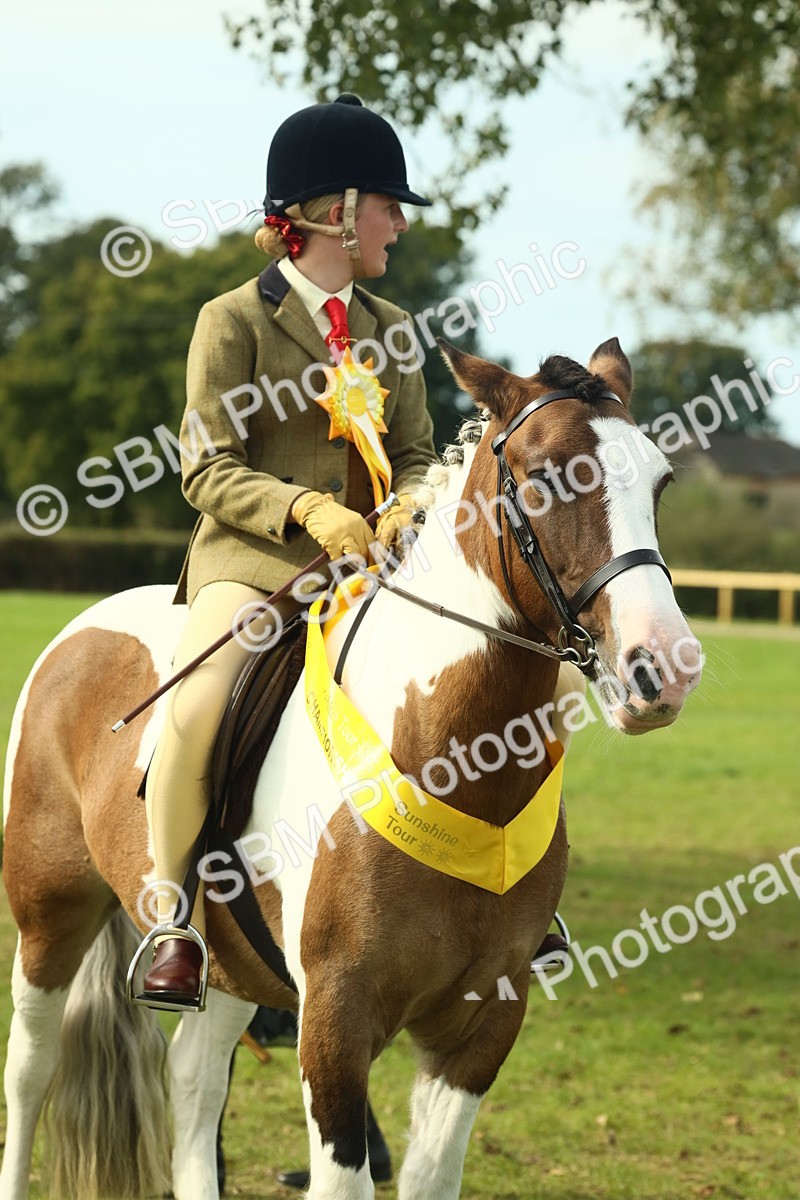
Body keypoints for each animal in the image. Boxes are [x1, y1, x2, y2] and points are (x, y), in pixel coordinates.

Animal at [0, 337, 702, 1200]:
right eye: (543, 475)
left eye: (660, 481)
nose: (665, 668)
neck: (457, 763)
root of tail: (86, 626)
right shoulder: (334, 1022)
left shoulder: (480, 1026)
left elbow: (432, 1178)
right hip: (50, 912)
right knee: (31, 1071)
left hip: (234, 963)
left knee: (194, 1081)